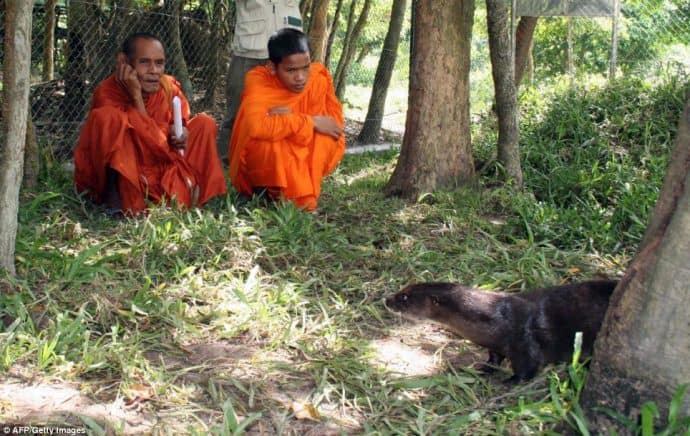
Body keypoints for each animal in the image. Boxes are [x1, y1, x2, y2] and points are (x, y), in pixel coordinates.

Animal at [384, 282, 616, 380]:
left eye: (404, 297)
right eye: (403, 289)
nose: (387, 300)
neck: (499, 319)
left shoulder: (525, 341)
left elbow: (529, 367)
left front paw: (512, 380)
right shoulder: (496, 344)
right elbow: (494, 357)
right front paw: (484, 368)